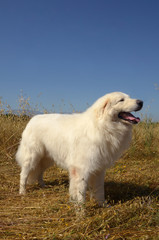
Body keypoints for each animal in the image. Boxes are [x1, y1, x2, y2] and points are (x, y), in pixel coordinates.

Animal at [15, 91, 143, 204]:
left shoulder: (99, 168)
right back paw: (22, 192)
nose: (141, 102)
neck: (102, 125)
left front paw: (102, 205)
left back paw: (43, 185)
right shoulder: (81, 168)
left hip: (47, 158)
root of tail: (33, 119)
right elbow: (81, 192)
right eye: (121, 100)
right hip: (32, 156)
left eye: (129, 97)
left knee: (39, 172)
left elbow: (99, 190)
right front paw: (81, 211)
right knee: (23, 174)